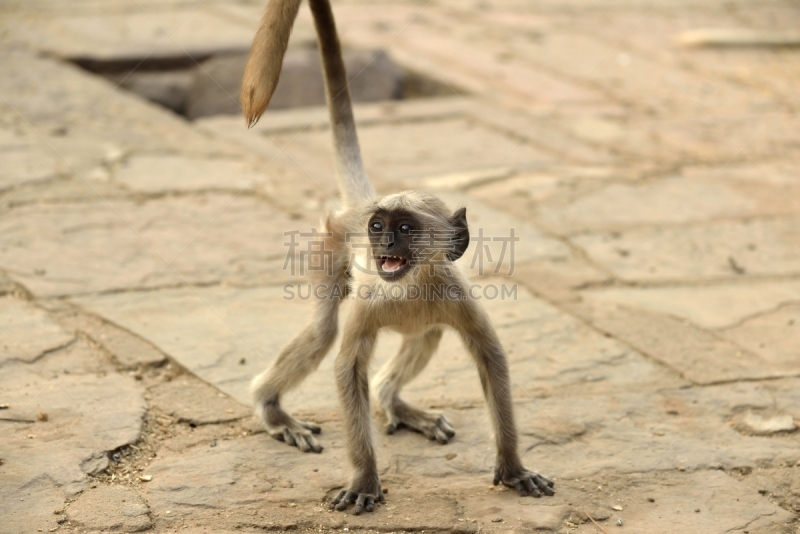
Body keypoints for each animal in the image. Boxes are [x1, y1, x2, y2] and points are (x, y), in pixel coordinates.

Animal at [242, 0, 556, 516]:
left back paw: (397, 404)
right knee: (324, 331)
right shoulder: (371, 299)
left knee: (426, 333)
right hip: (329, 245)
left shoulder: (453, 291)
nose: (383, 245)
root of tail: (355, 206)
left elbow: (491, 359)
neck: (408, 285)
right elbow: (347, 369)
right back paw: (274, 411)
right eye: (379, 228)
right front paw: (365, 480)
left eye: (405, 229)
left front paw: (512, 469)